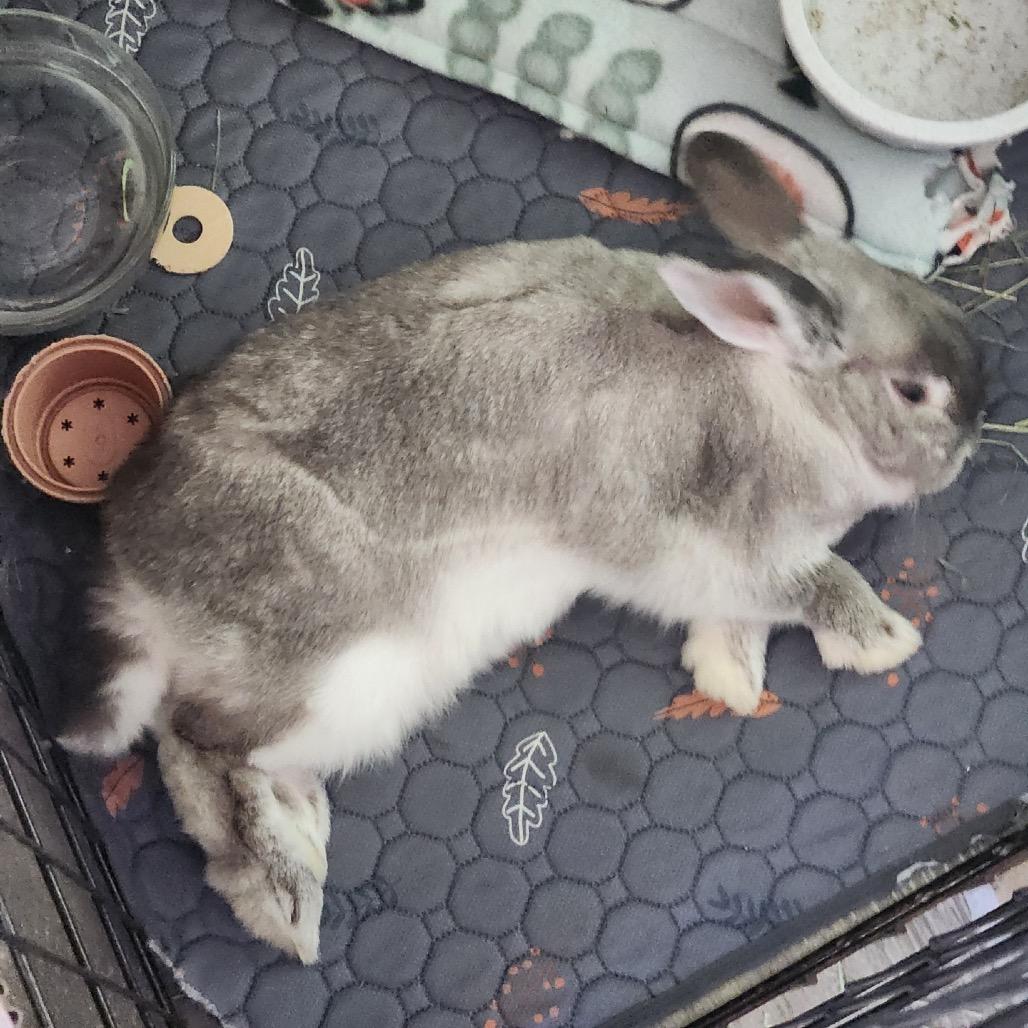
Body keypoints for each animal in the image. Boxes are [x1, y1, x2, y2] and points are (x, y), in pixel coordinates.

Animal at [57, 132, 983, 958]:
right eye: (914, 391)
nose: (973, 441)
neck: (789, 401)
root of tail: (130, 573)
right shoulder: (711, 542)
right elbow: (816, 582)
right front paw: (884, 641)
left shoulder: (729, 576)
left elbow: (742, 620)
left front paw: (730, 679)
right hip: (327, 664)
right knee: (193, 743)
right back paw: (287, 903)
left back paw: (303, 828)